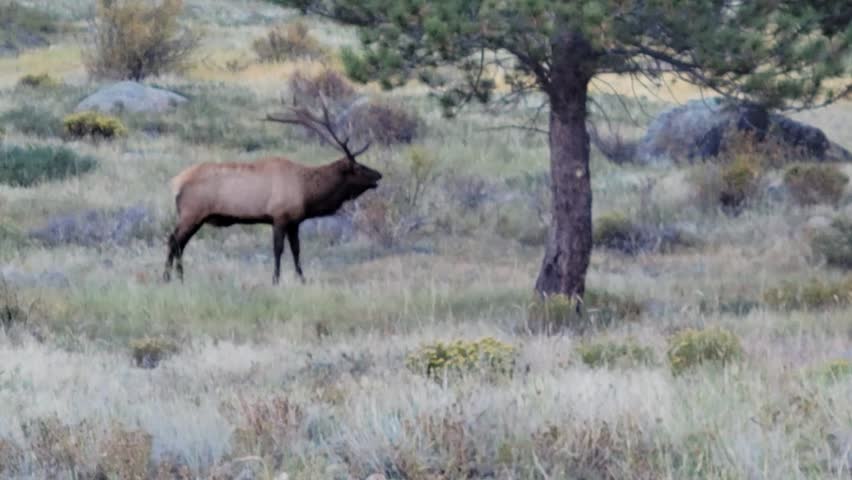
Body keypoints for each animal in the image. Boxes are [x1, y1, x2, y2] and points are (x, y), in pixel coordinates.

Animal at [163, 99, 382, 285]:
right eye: (359, 167)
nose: (379, 175)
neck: (307, 193)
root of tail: (176, 182)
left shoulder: (294, 221)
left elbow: (296, 250)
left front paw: (302, 279)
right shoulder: (279, 216)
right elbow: (278, 250)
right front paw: (275, 280)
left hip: (196, 217)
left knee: (180, 243)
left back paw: (179, 278)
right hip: (192, 213)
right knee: (173, 240)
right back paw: (167, 278)